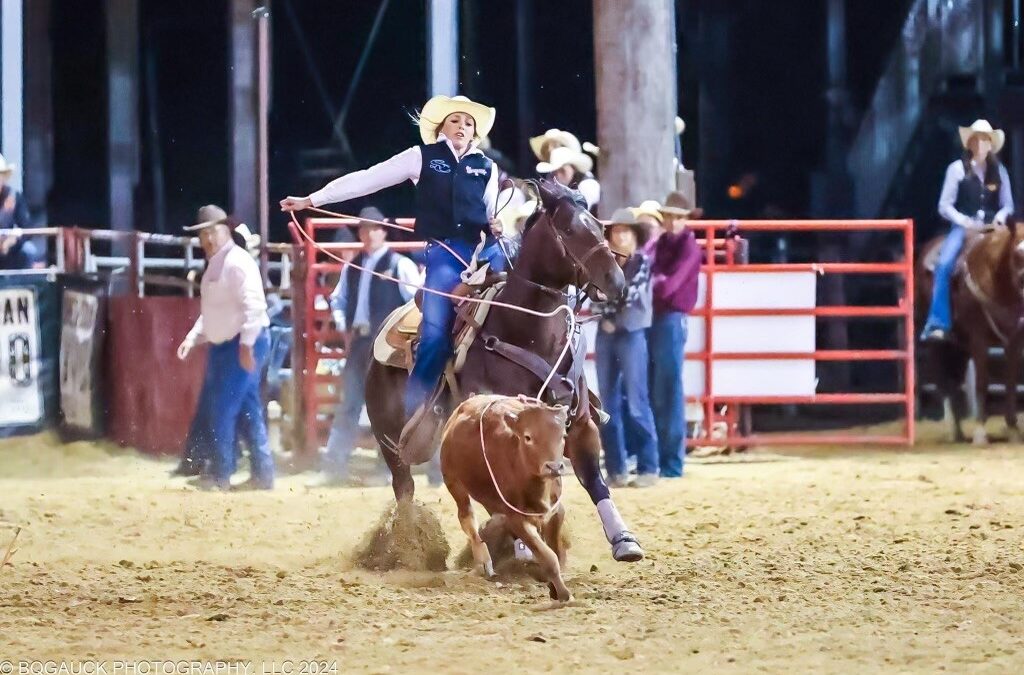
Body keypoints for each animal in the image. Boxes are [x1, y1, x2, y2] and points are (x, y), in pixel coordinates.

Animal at [364, 178, 638, 561]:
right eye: (569, 230)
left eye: (599, 226)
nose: (615, 280)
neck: (525, 332)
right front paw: (522, 546)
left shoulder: (580, 425)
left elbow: (593, 480)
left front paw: (624, 540)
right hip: (389, 441)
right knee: (404, 487)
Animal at [438, 395, 573, 602]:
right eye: (528, 437)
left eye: (562, 436)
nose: (554, 467)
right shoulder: (517, 518)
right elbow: (548, 557)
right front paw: (565, 594)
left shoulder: (556, 511)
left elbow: (555, 551)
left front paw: (554, 589)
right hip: (453, 481)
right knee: (467, 519)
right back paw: (483, 561)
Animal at [917, 220, 1024, 444]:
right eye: (1017, 253)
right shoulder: (979, 339)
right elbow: (981, 383)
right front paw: (980, 432)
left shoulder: (1014, 341)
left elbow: (1010, 384)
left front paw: (1013, 429)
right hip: (935, 342)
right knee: (942, 380)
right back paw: (952, 430)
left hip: (960, 344)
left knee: (954, 381)